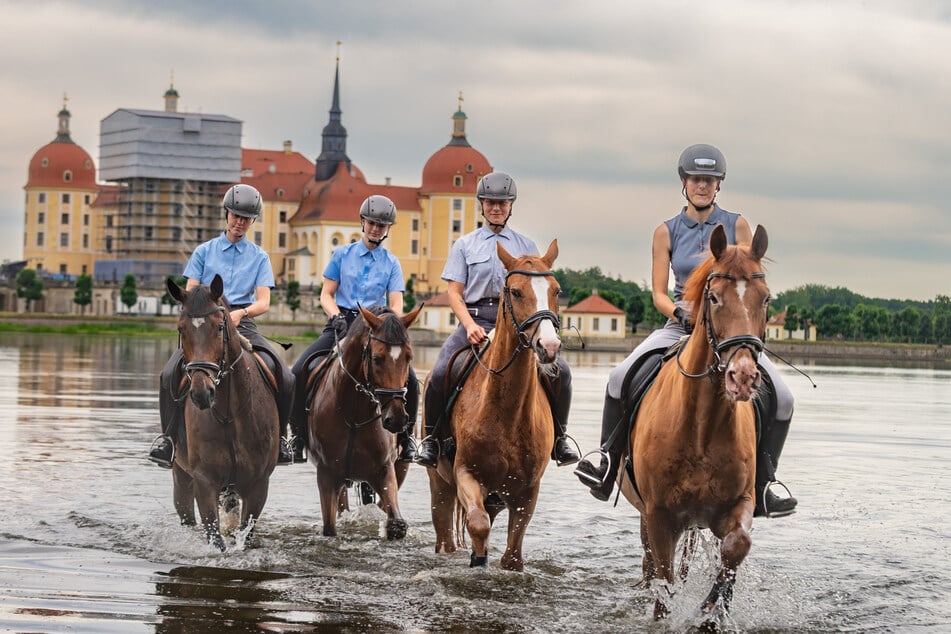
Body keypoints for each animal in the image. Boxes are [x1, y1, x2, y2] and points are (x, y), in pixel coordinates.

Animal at [165, 274, 280, 551]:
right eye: (181, 329)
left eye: (219, 327)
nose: (201, 392)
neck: (229, 413)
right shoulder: (204, 482)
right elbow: (215, 537)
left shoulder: (258, 485)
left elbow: (245, 535)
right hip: (181, 476)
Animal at [306, 304, 422, 540]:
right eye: (376, 358)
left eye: (409, 357)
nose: (397, 419)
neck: (354, 414)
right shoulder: (327, 474)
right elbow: (329, 528)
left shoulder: (384, 470)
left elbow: (396, 524)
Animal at [426, 240, 561, 571]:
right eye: (515, 291)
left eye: (556, 290)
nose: (549, 347)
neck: (506, 413)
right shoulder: (466, 474)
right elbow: (478, 525)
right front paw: (478, 559)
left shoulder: (526, 492)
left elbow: (512, 554)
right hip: (440, 486)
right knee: (445, 534)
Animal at [619, 224, 771, 622]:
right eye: (714, 298)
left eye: (766, 299)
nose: (743, 377)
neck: (702, 426)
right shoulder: (659, 516)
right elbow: (664, 584)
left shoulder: (738, 503)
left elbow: (736, 547)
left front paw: (713, 608)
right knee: (651, 566)